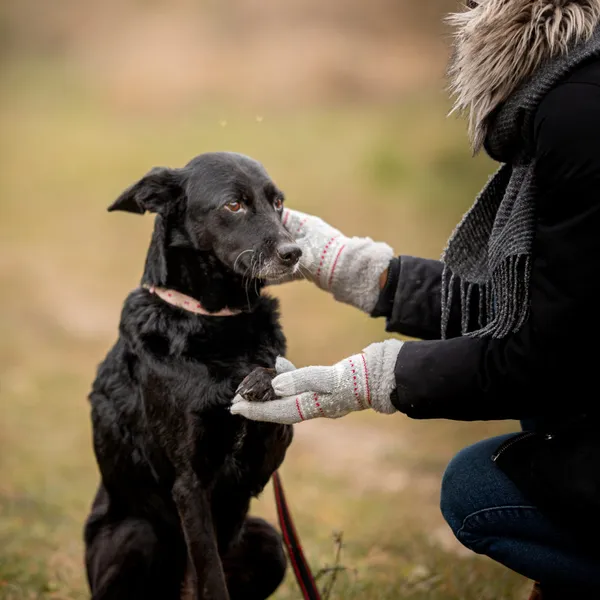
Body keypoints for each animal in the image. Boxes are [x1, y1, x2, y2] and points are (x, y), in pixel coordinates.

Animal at [84, 152, 300, 596]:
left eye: (278, 203)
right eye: (233, 205)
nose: (295, 253)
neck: (216, 322)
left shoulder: (260, 466)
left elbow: (270, 385)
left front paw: (261, 380)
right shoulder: (189, 481)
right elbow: (211, 575)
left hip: (269, 542)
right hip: (137, 532)